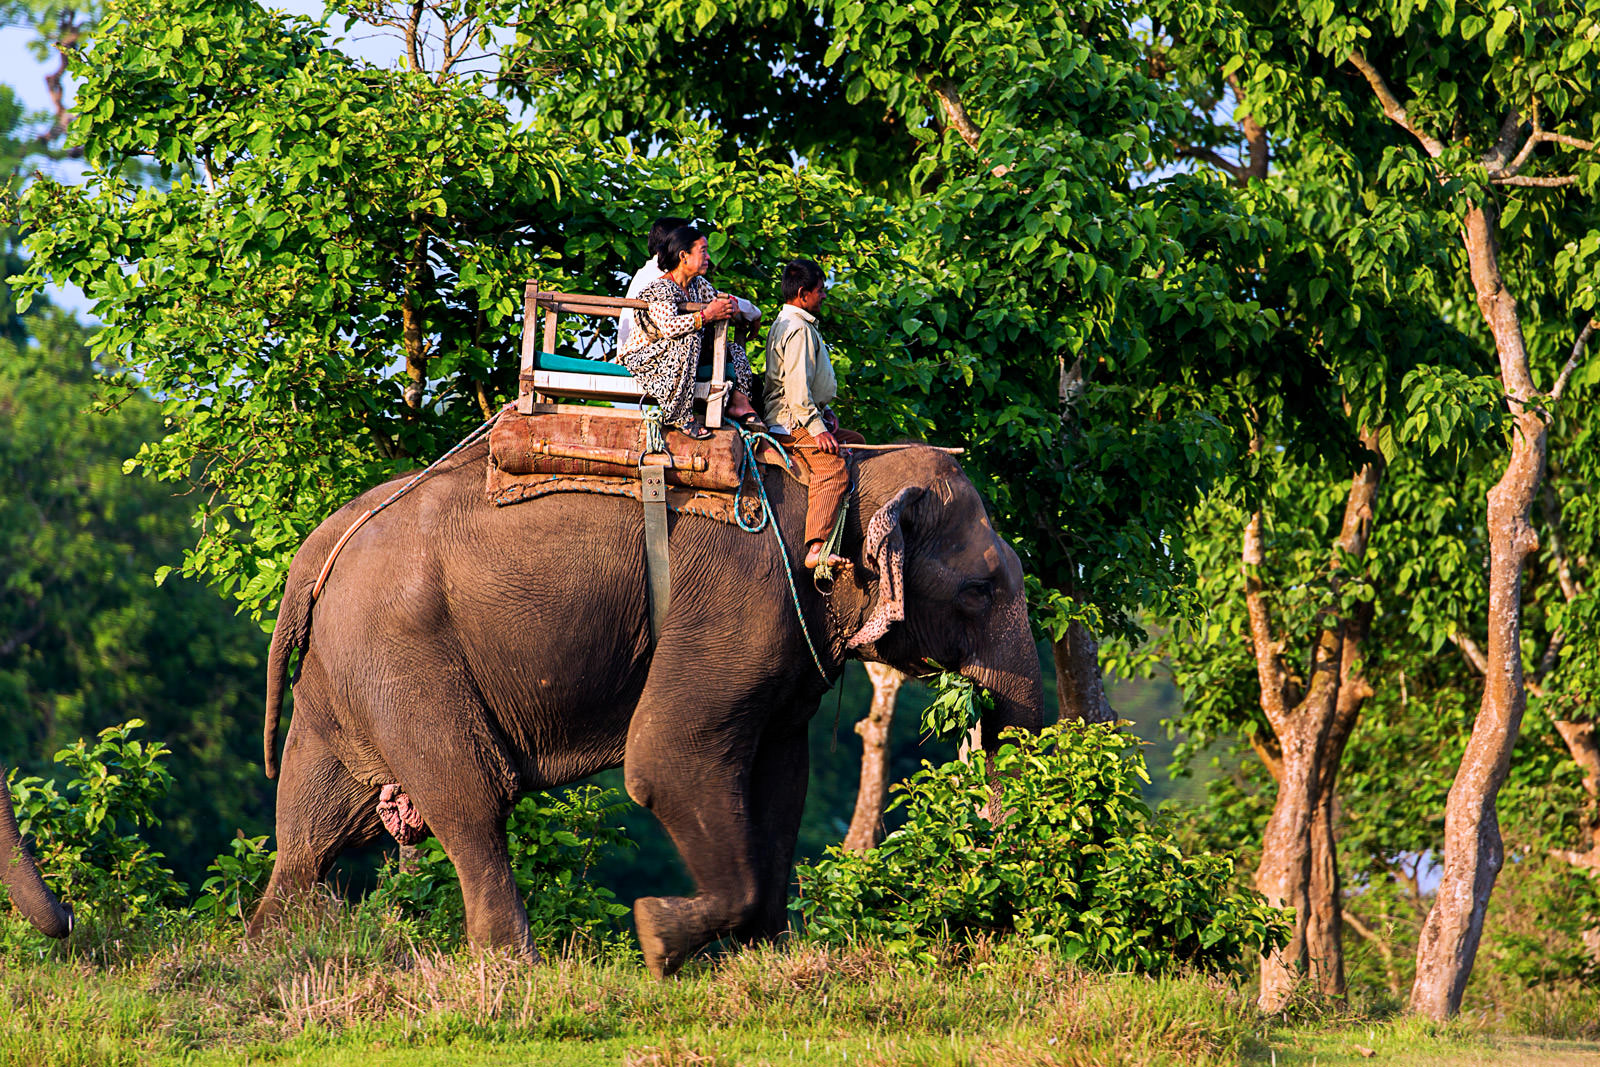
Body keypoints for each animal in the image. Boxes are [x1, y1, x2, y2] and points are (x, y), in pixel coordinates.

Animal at [250, 435, 1043, 976]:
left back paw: (270, 952)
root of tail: (318, 545)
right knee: (472, 798)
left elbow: (782, 781)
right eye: (979, 589)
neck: (845, 467)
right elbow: (666, 761)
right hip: (402, 659)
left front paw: (769, 958)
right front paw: (656, 938)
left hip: (344, 678)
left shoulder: (788, 642)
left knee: (312, 829)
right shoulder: (737, 603)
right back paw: (514, 965)